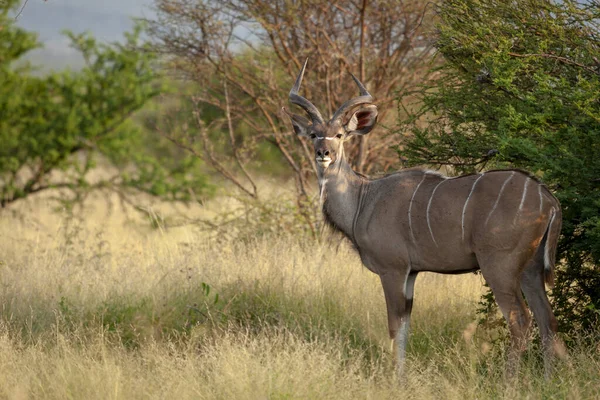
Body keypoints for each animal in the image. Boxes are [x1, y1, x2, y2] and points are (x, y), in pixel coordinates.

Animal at [284, 60, 564, 376]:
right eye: (313, 134)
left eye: (340, 134)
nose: (324, 153)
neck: (364, 199)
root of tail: (549, 200)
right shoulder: (411, 273)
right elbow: (405, 328)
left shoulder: (393, 270)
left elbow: (394, 327)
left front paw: (395, 378)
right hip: (530, 269)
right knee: (547, 320)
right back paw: (546, 380)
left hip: (499, 267)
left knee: (521, 320)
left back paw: (510, 382)